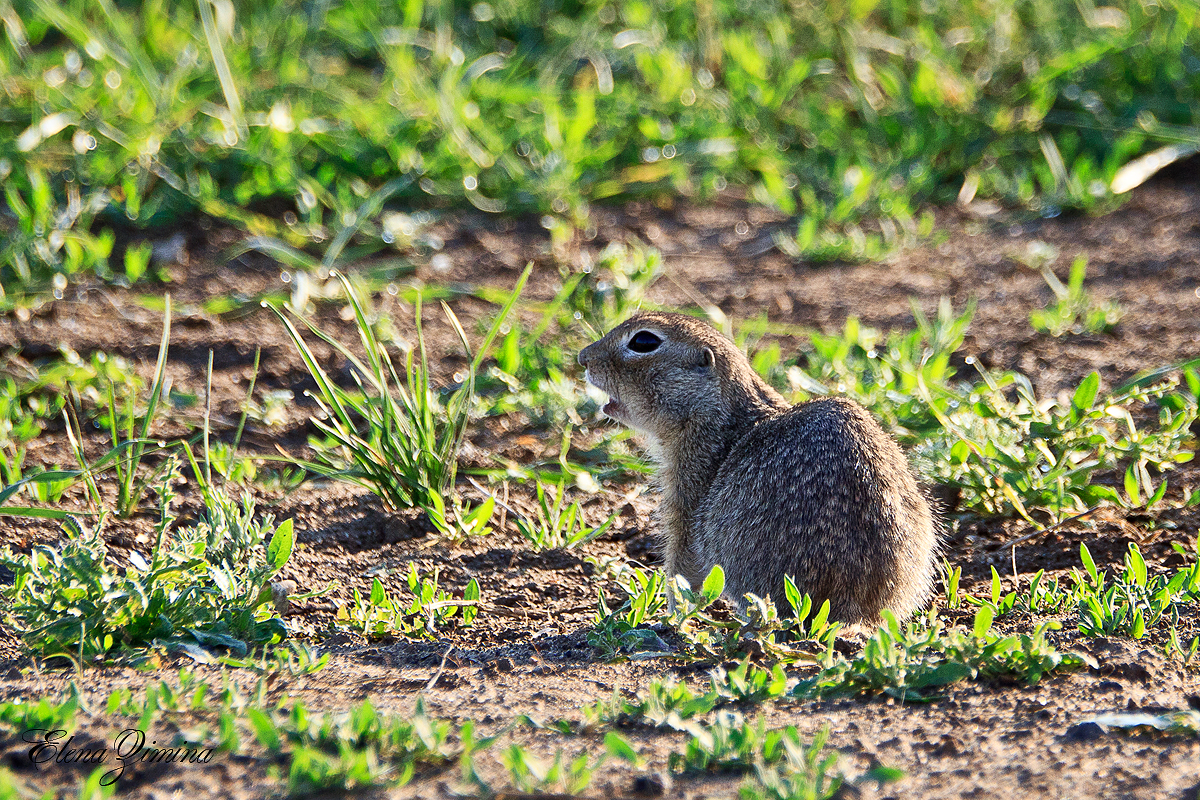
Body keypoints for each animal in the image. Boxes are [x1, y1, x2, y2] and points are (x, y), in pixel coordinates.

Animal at [578, 311, 936, 623]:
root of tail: (857, 606)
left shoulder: (687, 493)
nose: (583, 358)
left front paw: (669, 616)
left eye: (644, 341)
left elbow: (683, 567)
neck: (721, 414)